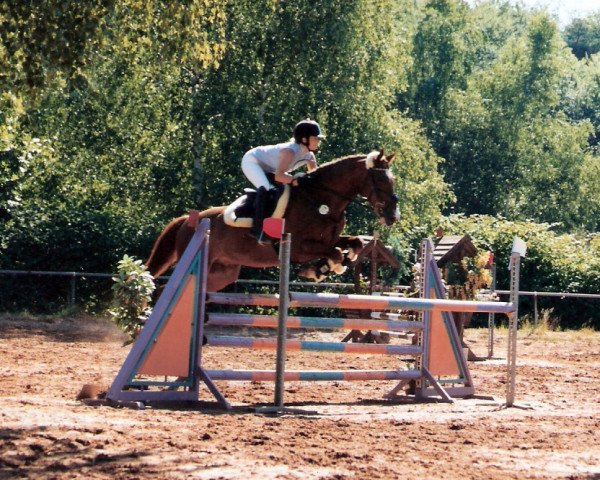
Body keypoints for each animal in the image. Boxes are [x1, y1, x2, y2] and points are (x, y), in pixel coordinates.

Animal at [145, 151, 398, 292]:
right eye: (379, 180)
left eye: (392, 179)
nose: (393, 215)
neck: (321, 199)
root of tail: (188, 219)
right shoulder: (297, 248)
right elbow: (335, 252)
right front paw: (322, 269)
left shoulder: (328, 240)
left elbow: (353, 243)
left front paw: (324, 268)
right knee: (164, 290)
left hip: (222, 273)